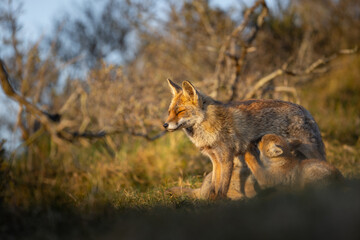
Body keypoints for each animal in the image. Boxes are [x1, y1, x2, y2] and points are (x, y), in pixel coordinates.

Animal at [164, 79, 326, 199]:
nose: (165, 125)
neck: (207, 125)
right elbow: (214, 187)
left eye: (180, 111)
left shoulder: (226, 158)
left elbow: (222, 187)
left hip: (310, 151)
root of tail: (303, 109)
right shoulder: (215, 159)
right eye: (170, 112)